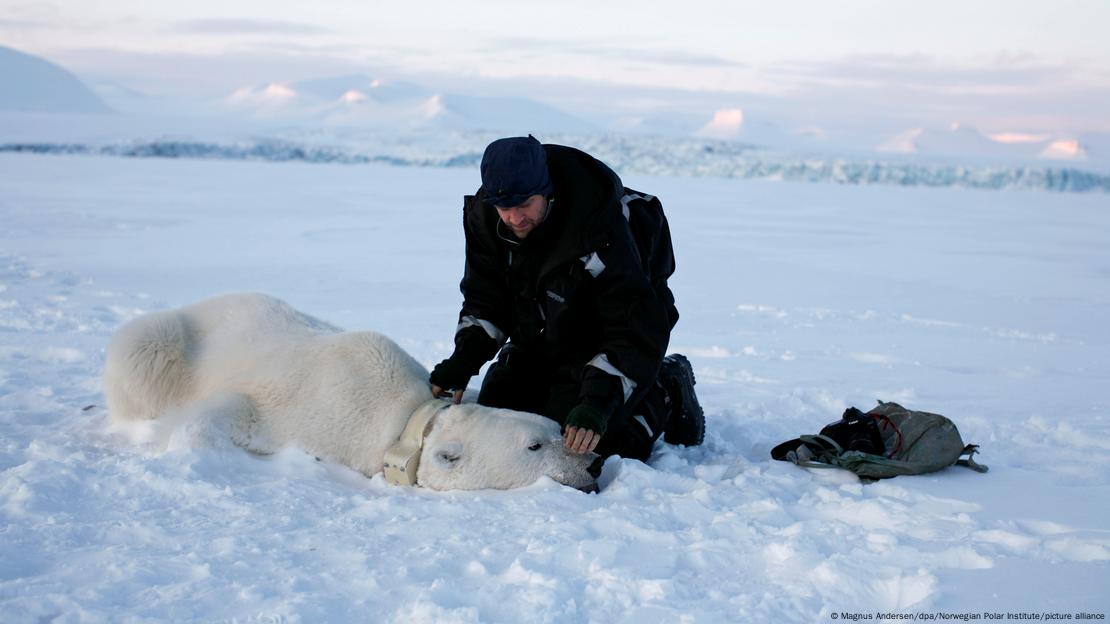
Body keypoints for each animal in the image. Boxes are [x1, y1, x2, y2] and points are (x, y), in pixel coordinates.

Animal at [106, 290, 599, 490]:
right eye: (535, 446)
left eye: (555, 427)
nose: (592, 465)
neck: (406, 420)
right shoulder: (300, 403)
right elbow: (228, 410)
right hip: (163, 341)